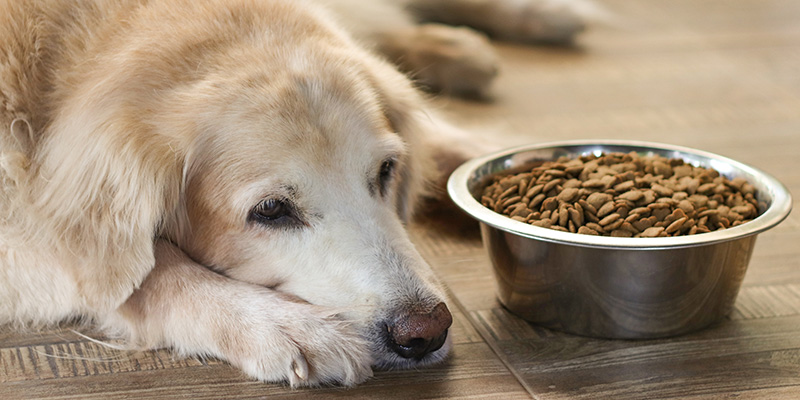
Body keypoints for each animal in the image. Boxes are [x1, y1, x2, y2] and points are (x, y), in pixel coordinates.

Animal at [0, 0, 592, 388]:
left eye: (386, 171)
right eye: (271, 211)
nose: (425, 332)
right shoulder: (26, 225)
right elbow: (147, 272)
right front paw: (284, 326)